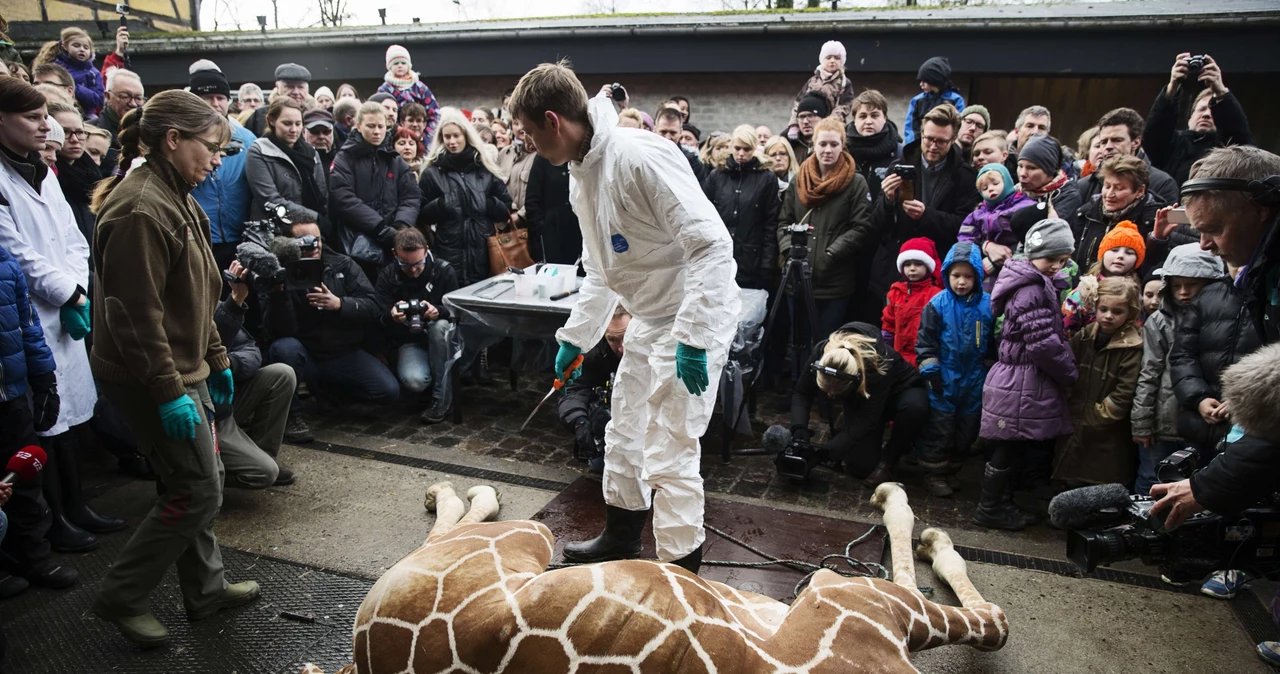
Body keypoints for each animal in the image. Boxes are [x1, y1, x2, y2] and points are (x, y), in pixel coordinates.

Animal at [302, 483, 1008, 670]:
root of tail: (362, 656)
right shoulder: (854, 600)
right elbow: (990, 618)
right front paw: (916, 518)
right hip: (526, 538)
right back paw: (456, 488)